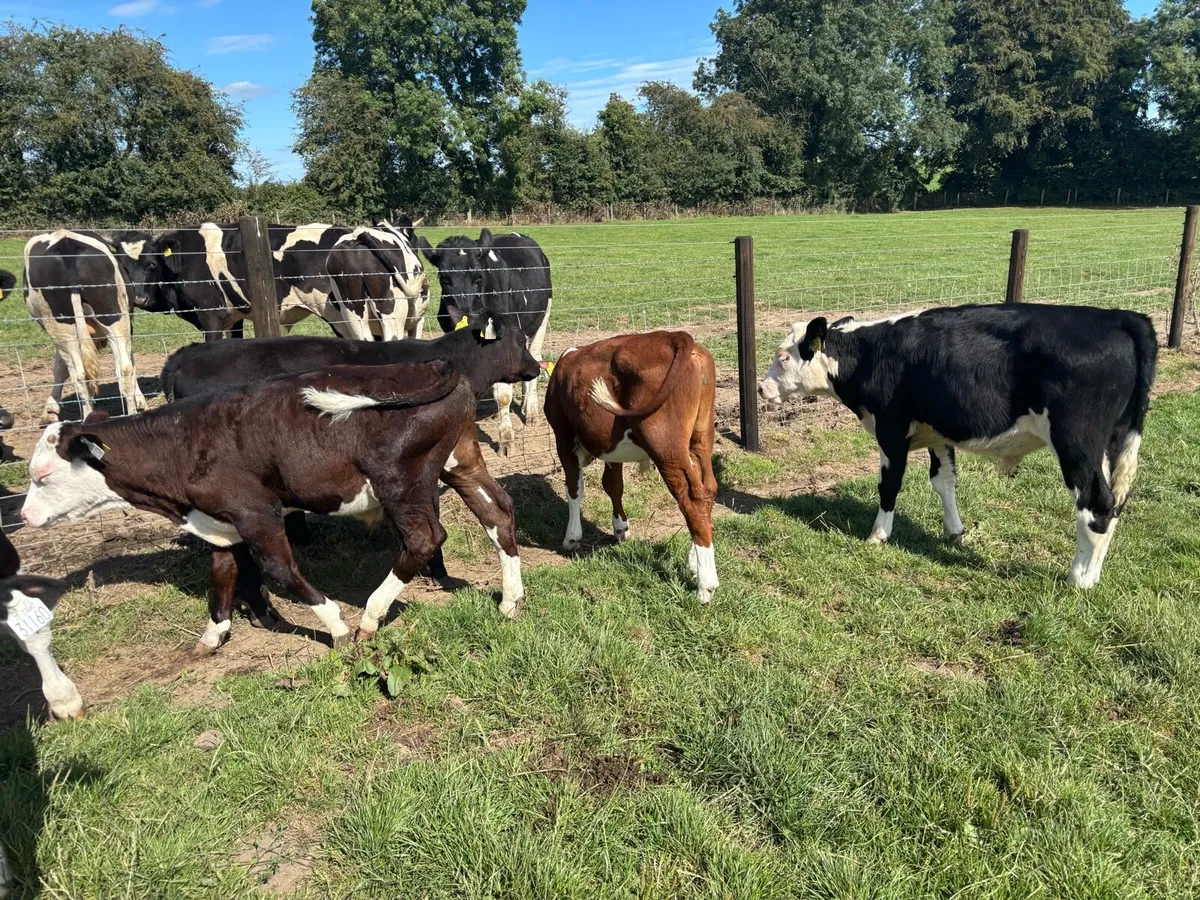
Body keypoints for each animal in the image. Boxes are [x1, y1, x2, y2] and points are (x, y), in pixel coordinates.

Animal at [20, 360, 525, 654]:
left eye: (42, 474)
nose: (24, 517)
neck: (184, 443)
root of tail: (439, 367)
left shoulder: (256, 513)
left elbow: (280, 573)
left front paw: (336, 628)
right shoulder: (220, 520)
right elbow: (223, 573)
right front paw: (213, 634)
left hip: (400, 480)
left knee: (424, 539)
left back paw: (369, 617)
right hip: (460, 460)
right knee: (498, 512)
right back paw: (510, 600)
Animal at [22, 231, 153, 422]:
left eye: (149, 264)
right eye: (125, 263)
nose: (139, 298)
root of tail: (65, 244)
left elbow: (59, 368)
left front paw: (50, 409)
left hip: (63, 325)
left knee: (80, 373)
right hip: (113, 319)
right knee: (123, 367)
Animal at [418, 228, 552, 456]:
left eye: (479, 277)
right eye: (443, 278)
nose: (465, 315)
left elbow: (503, 395)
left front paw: (506, 441)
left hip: (541, 319)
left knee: (535, 357)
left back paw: (531, 412)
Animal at [543, 331, 719, 603]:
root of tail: (673, 336)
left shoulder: (563, 436)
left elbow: (574, 488)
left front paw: (572, 537)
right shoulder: (611, 446)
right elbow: (613, 484)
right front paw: (620, 528)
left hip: (665, 443)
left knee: (692, 498)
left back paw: (705, 586)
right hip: (701, 436)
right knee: (708, 489)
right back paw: (694, 562)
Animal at [758, 304, 1158, 589]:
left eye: (784, 357)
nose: (761, 388)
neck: (873, 353)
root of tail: (1120, 317)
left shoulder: (891, 430)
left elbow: (889, 485)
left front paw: (878, 535)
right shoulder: (938, 434)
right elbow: (944, 481)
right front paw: (955, 533)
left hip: (1078, 441)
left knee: (1096, 503)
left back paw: (1079, 580)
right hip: (1114, 442)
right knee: (1115, 504)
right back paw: (1093, 574)